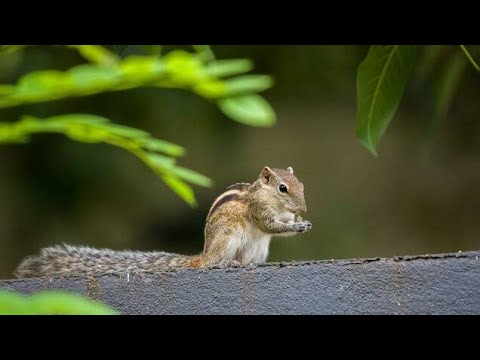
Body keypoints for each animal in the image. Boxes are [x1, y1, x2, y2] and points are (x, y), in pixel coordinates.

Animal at [14, 166, 312, 278]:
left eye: (302, 185)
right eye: (283, 188)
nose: (303, 208)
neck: (266, 196)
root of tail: (203, 253)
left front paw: (301, 221)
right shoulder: (259, 210)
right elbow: (269, 225)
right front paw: (297, 225)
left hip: (258, 248)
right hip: (229, 236)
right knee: (213, 262)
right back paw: (225, 263)